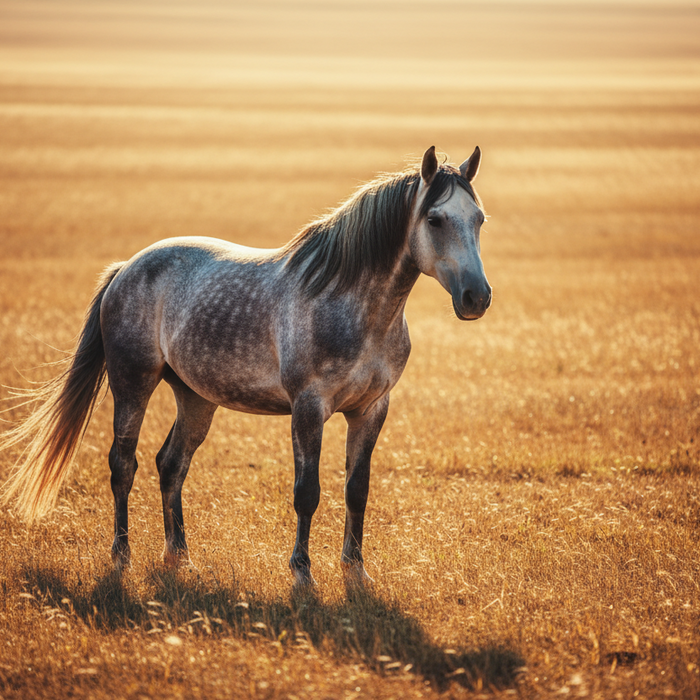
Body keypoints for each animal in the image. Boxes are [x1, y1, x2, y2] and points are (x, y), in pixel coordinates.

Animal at [1, 146, 491, 587]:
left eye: (479, 219)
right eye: (435, 220)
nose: (477, 297)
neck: (353, 305)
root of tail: (126, 268)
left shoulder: (371, 409)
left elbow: (357, 490)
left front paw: (356, 573)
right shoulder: (308, 408)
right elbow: (307, 493)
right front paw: (302, 574)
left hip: (195, 397)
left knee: (170, 465)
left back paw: (180, 558)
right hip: (132, 382)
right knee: (123, 463)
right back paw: (122, 556)